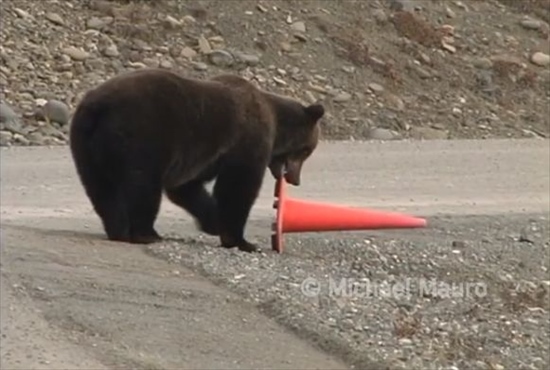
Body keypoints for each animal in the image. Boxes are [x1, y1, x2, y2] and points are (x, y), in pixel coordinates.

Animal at [70, 67, 326, 251]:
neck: (276, 124)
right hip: (142, 136)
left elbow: (187, 188)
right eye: (307, 151)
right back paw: (146, 233)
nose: (295, 179)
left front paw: (213, 222)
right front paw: (241, 240)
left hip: (86, 146)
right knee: (142, 184)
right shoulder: (246, 141)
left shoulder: (199, 158)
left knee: (102, 189)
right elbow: (238, 186)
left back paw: (118, 229)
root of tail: (98, 106)